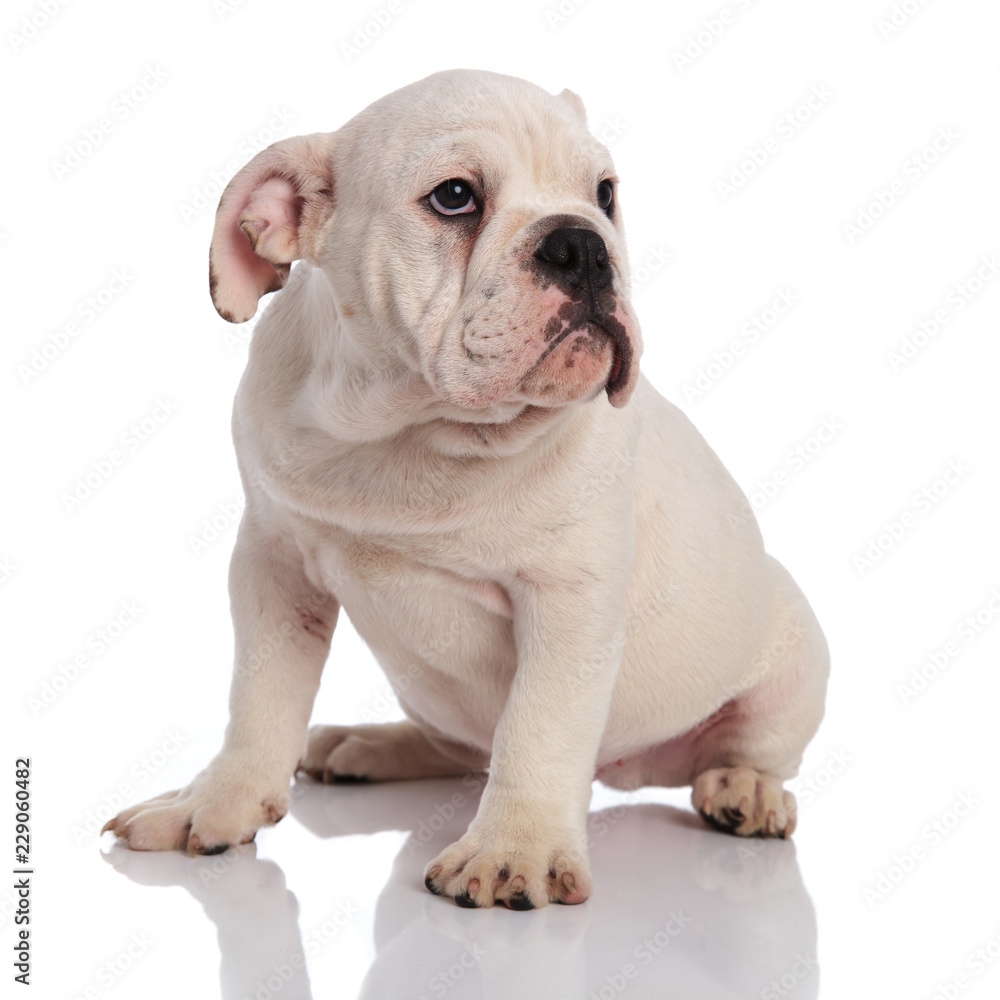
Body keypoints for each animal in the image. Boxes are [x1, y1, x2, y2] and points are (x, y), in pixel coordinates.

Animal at [105, 70, 832, 912]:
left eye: (605, 193)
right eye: (454, 197)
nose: (583, 243)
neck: (416, 428)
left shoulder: (569, 599)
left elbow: (538, 726)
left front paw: (516, 850)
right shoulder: (273, 563)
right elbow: (259, 699)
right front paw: (215, 802)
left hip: (794, 662)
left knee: (745, 747)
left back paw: (746, 789)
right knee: (460, 746)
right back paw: (368, 745)